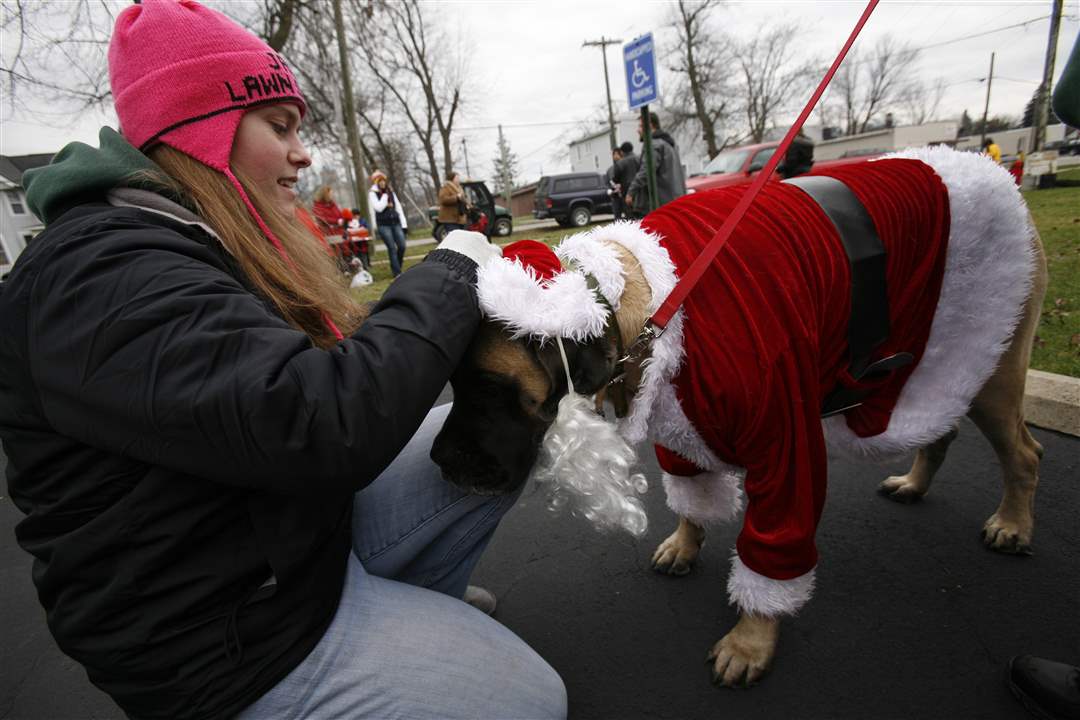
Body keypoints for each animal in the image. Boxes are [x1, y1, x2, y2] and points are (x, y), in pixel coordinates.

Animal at [429, 144, 1045, 686]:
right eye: (451, 382)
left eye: (487, 386)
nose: (437, 459)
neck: (646, 303)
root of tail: (995, 175)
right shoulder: (677, 418)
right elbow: (692, 494)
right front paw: (685, 542)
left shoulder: (786, 442)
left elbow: (773, 549)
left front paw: (752, 638)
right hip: (940, 356)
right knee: (940, 426)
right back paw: (916, 483)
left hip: (990, 356)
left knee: (1025, 452)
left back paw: (1013, 523)